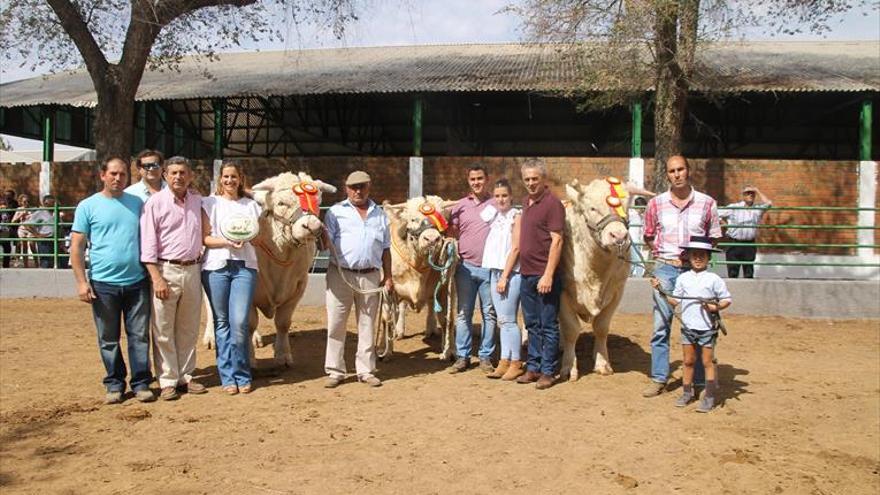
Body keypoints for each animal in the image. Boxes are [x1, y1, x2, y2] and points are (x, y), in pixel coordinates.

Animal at [203, 170, 336, 368]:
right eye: (281, 203)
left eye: (317, 202)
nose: (312, 227)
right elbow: (249, 322)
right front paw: (249, 359)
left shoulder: (299, 285)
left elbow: (283, 322)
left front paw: (283, 355)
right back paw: (211, 337)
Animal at [380, 197, 458, 360]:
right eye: (413, 219)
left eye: (442, 220)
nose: (432, 239)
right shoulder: (388, 288)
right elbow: (387, 319)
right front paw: (386, 350)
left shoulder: (446, 287)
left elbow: (447, 319)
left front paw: (449, 350)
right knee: (401, 308)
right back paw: (399, 332)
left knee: (431, 305)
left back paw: (431, 329)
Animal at [556, 179, 632, 384]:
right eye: (592, 208)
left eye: (626, 208)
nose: (619, 236)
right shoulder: (562, 293)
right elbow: (571, 329)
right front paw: (569, 367)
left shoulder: (617, 292)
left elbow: (601, 327)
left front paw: (602, 363)